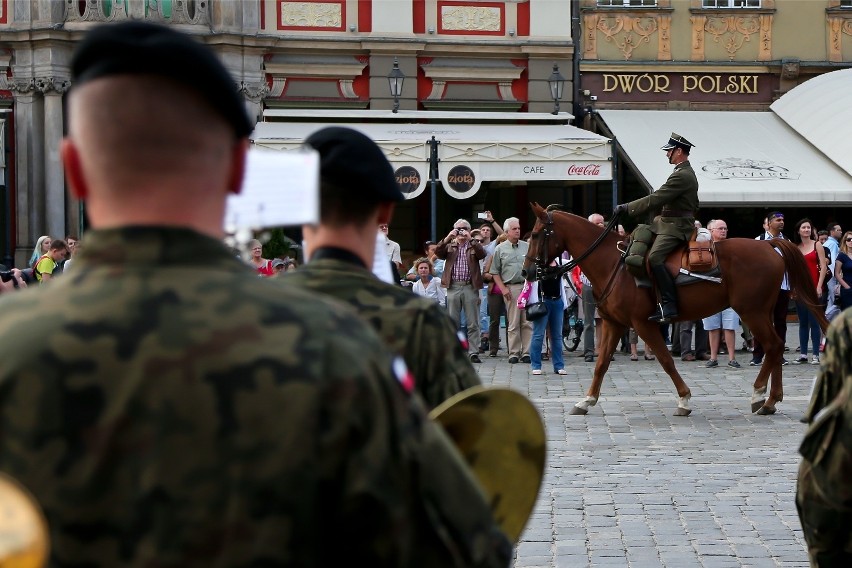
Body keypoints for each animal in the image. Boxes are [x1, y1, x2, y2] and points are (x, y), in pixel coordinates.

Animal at [524, 202, 828, 414]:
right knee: (776, 346)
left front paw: (684, 399)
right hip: (763, 312)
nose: (527, 272)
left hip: (752, 312)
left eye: (537, 234)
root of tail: (770, 246)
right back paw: (770, 400)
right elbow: (601, 363)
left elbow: (666, 360)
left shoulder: (643, 323)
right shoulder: (613, 323)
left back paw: (759, 395)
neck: (613, 263)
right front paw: (586, 401)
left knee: (774, 346)